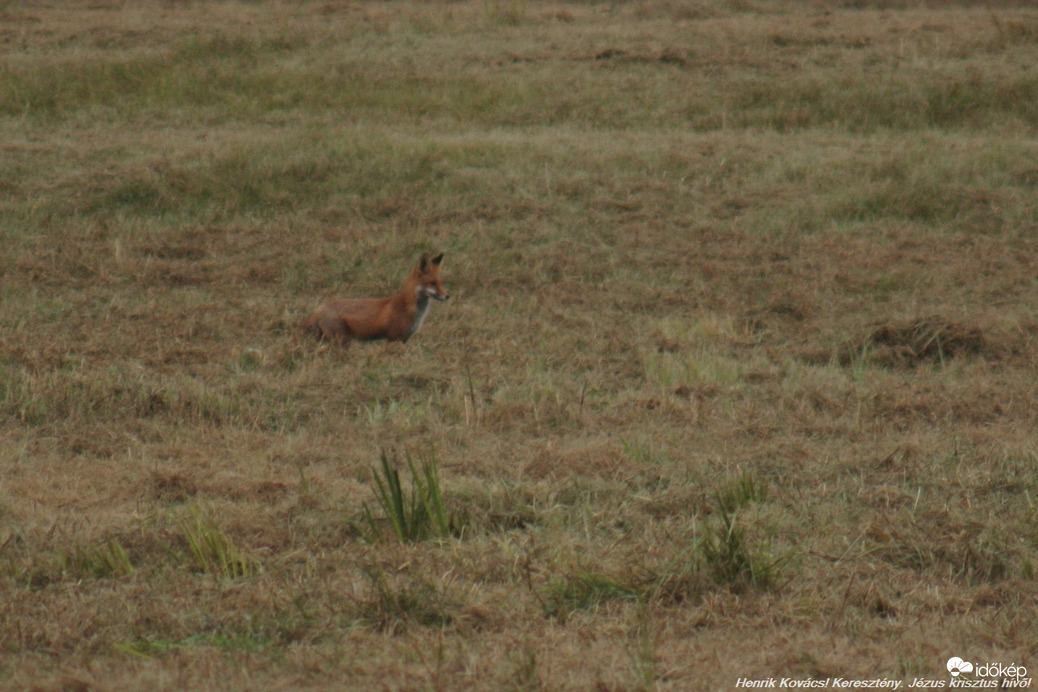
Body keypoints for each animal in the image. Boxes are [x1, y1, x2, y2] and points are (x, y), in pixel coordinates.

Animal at [298, 252, 448, 346]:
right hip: (341, 340)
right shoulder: (394, 338)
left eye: (441, 282)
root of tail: (319, 308)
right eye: (432, 283)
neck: (408, 308)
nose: (447, 295)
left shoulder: (404, 339)